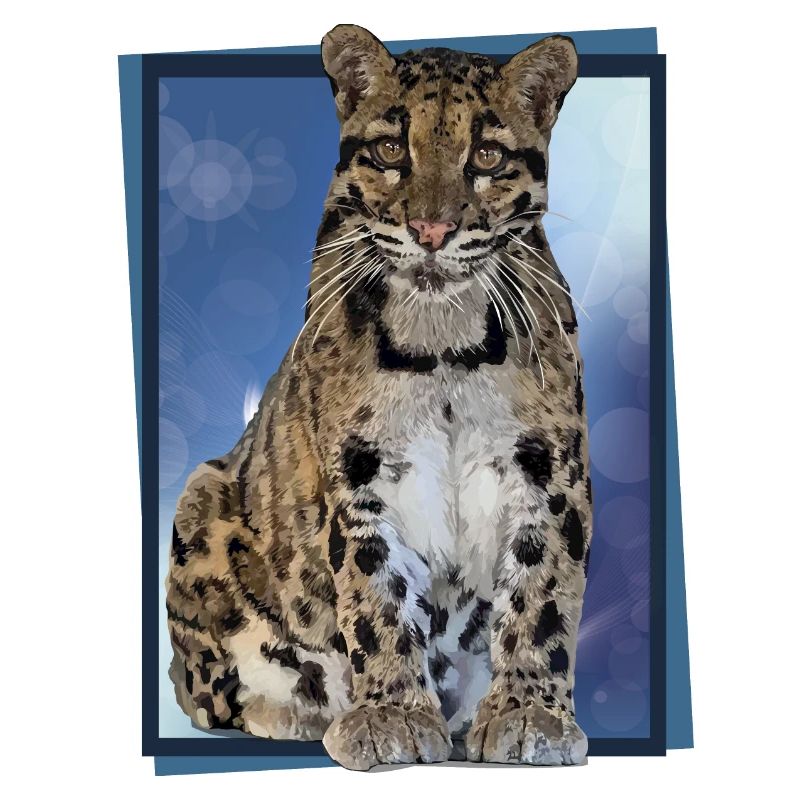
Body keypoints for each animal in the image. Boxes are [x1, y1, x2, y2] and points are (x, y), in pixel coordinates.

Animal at [166, 24, 591, 770]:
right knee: (207, 692)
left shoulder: (549, 472)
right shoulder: (359, 475)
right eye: (393, 149)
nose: (431, 231)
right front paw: (391, 715)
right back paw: (299, 711)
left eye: (486, 155)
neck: (443, 343)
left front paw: (529, 714)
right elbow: (375, 596)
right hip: (200, 497)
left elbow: (542, 594)